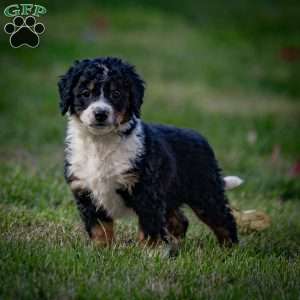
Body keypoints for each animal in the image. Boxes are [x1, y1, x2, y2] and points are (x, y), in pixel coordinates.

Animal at [58, 57, 241, 250]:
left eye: (116, 93)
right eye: (85, 93)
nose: (100, 113)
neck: (101, 143)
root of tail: (199, 137)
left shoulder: (146, 191)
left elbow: (149, 227)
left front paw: (150, 252)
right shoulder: (85, 191)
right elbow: (99, 228)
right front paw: (101, 250)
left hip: (205, 192)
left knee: (223, 219)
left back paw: (229, 249)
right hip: (171, 193)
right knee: (180, 221)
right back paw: (176, 244)